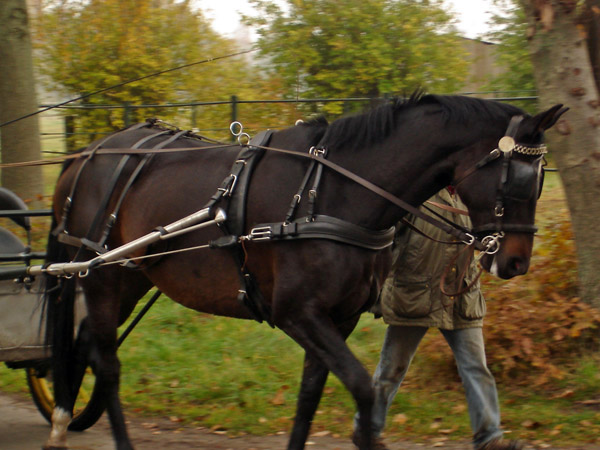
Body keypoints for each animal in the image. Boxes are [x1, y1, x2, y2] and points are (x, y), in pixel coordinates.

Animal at [39, 93, 564, 448]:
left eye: (542, 178)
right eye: (520, 180)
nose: (516, 261)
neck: (331, 191)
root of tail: (87, 154)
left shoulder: (337, 318)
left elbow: (310, 396)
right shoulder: (298, 314)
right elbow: (363, 390)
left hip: (130, 276)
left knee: (88, 344)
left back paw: (65, 416)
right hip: (100, 274)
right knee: (108, 363)